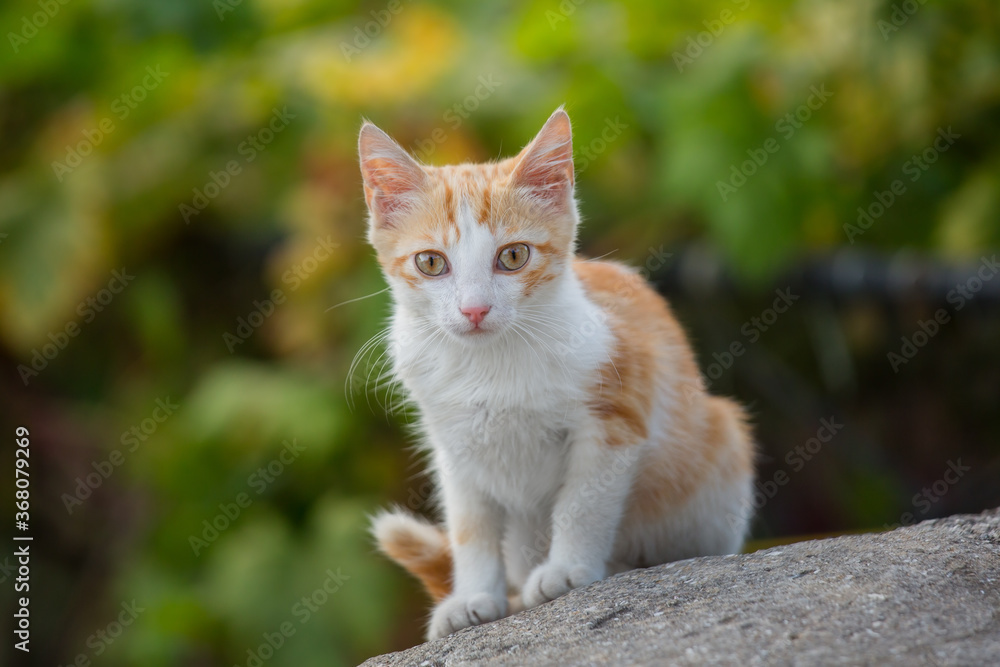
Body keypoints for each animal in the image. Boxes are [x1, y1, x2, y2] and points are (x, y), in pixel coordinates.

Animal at [356, 108, 752, 640]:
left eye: (513, 256)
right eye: (431, 262)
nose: (474, 310)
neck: (490, 362)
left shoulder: (616, 415)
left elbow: (582, 502)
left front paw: (568, 570)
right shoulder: (453, 447)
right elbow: (471, 526)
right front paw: (474, 597)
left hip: (718, 452)